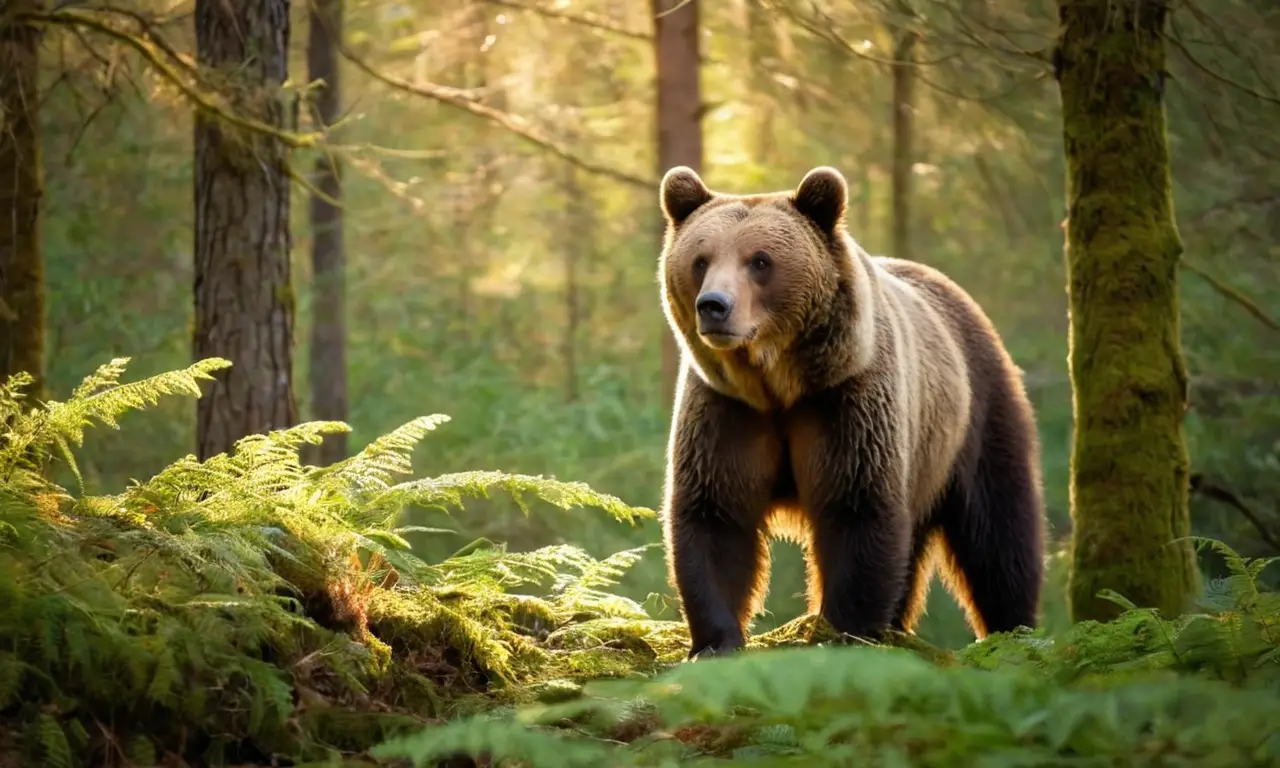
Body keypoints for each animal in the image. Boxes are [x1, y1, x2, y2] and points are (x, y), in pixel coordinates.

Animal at [657, 165, 1046, 658]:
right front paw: (715, 642)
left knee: (1000, 533)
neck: (778, 383)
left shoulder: (846, 401)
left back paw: (1012, 628)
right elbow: (716, 514)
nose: (714, 306)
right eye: (701, 259)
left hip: (976, 410)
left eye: (760, 260)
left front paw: (842, 630)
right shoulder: (728, 410)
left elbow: (856, 508)